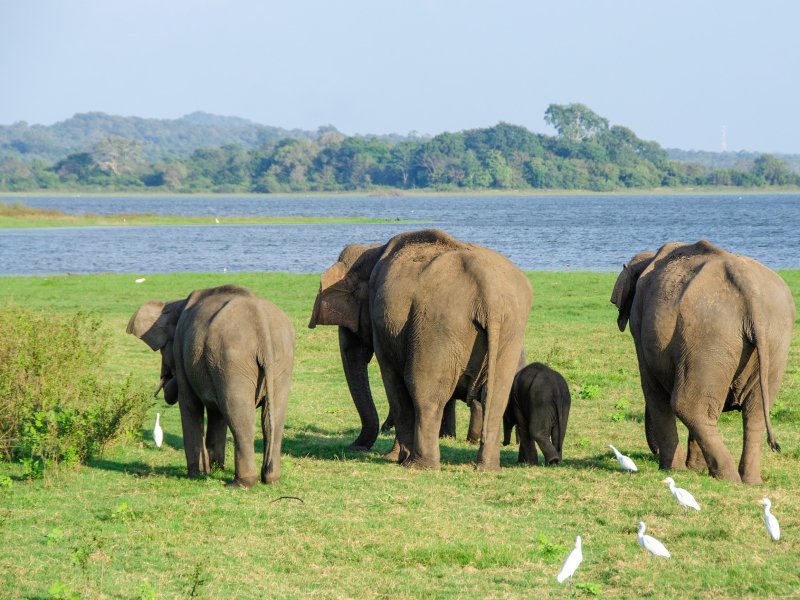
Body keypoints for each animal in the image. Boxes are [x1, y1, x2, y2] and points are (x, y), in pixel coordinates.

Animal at [128, 286, 294, 488]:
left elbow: (190, 404)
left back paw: (241, 483)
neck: (176, 304)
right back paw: (271, 479)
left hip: (232, 360)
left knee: (239, 415)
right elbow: (217, 414)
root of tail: (261, 322)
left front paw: (196, 474)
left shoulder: (183, 352)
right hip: (280, 360)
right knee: (273, 416)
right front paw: (215, 469)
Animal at [308, 227, 532, 472]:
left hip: (437, 327)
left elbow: (393, 380)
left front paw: (395, 457)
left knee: (424, 391)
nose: (355, 448)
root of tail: (489, 295)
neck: (372, 250)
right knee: (496, 395)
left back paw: (418, 465)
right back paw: (487, 468)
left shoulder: (383, 326)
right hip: (510, 331)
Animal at [612, 240, 792, 482]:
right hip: (772, 339)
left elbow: (652, 389)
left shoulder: (639, 327)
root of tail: (749, 289)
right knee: (753, 413)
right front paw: (694, 469)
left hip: (708, 334)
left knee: (687, 405)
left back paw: (728, 478)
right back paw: (750, 481)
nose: (653, 451)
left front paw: (673, 469)